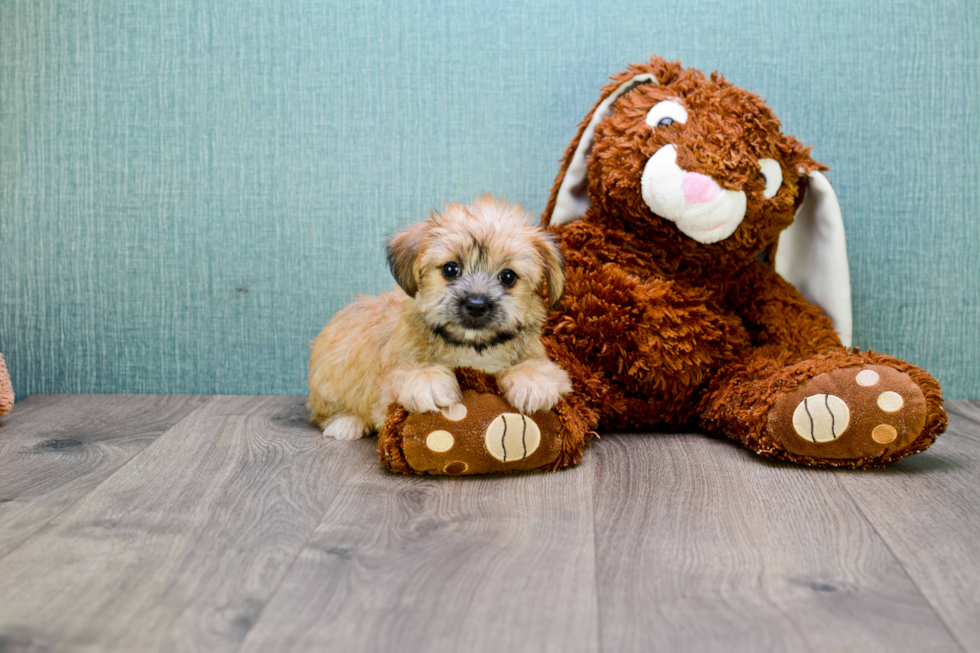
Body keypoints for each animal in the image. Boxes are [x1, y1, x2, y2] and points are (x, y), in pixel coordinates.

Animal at [308, 196, 576, 440]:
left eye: (508, 277)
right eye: (450, 269)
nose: (476, 305)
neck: (472, 347)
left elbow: (537, 367)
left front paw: (532, 380)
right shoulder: (385, 392)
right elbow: (407, 372)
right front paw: (427, 380)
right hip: (329, 380)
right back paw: (345, 423)